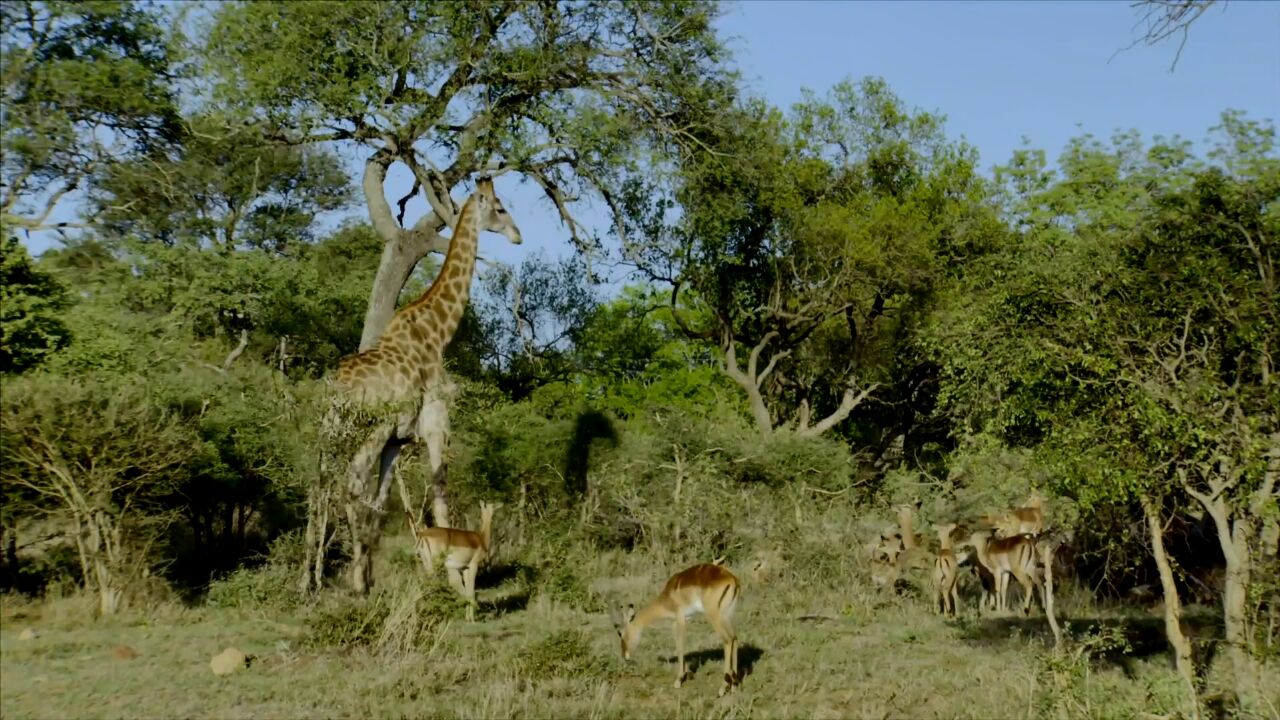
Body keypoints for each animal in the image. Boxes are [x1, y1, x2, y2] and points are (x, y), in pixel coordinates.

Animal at [308, 176, 519, 591]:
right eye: (500, 208)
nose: (517, 235)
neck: (437, 333)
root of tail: (336, 390)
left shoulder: (398, 440)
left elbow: (382, 501)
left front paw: (372, 572)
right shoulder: (436, 424)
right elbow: (439, 492)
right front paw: (447, 574)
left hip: (332, 431)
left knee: (318, 485)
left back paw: (311, 578)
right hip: (368, 430)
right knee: (351, 484)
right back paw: (347, 583)